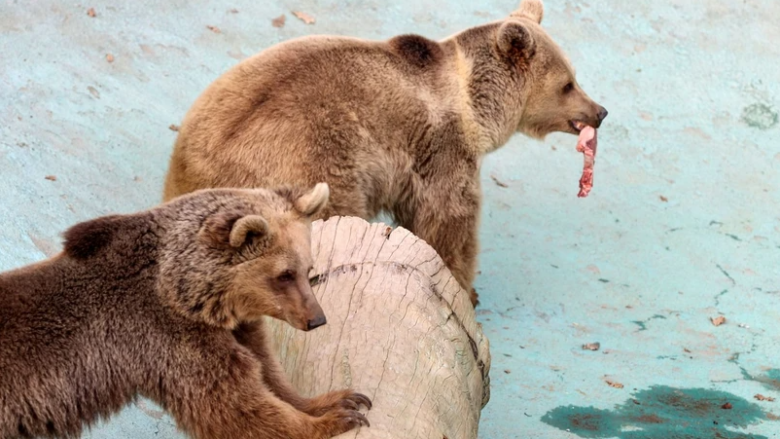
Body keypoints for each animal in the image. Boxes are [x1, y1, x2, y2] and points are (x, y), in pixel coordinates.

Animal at [0, 183, 372, 439]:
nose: (316, 319)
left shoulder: (236, 328)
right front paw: (335, 420)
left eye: (309, 269)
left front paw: (343, 400)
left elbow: (269, 373)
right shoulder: (167, 337)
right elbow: (236, 408)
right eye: (284, 274)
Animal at [161, 0, 608, 308]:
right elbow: (449, 219)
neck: (474, 107)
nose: (599, 111)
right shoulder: (439, 148)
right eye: (568, 84)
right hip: (311, 167)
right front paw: (465, 288)